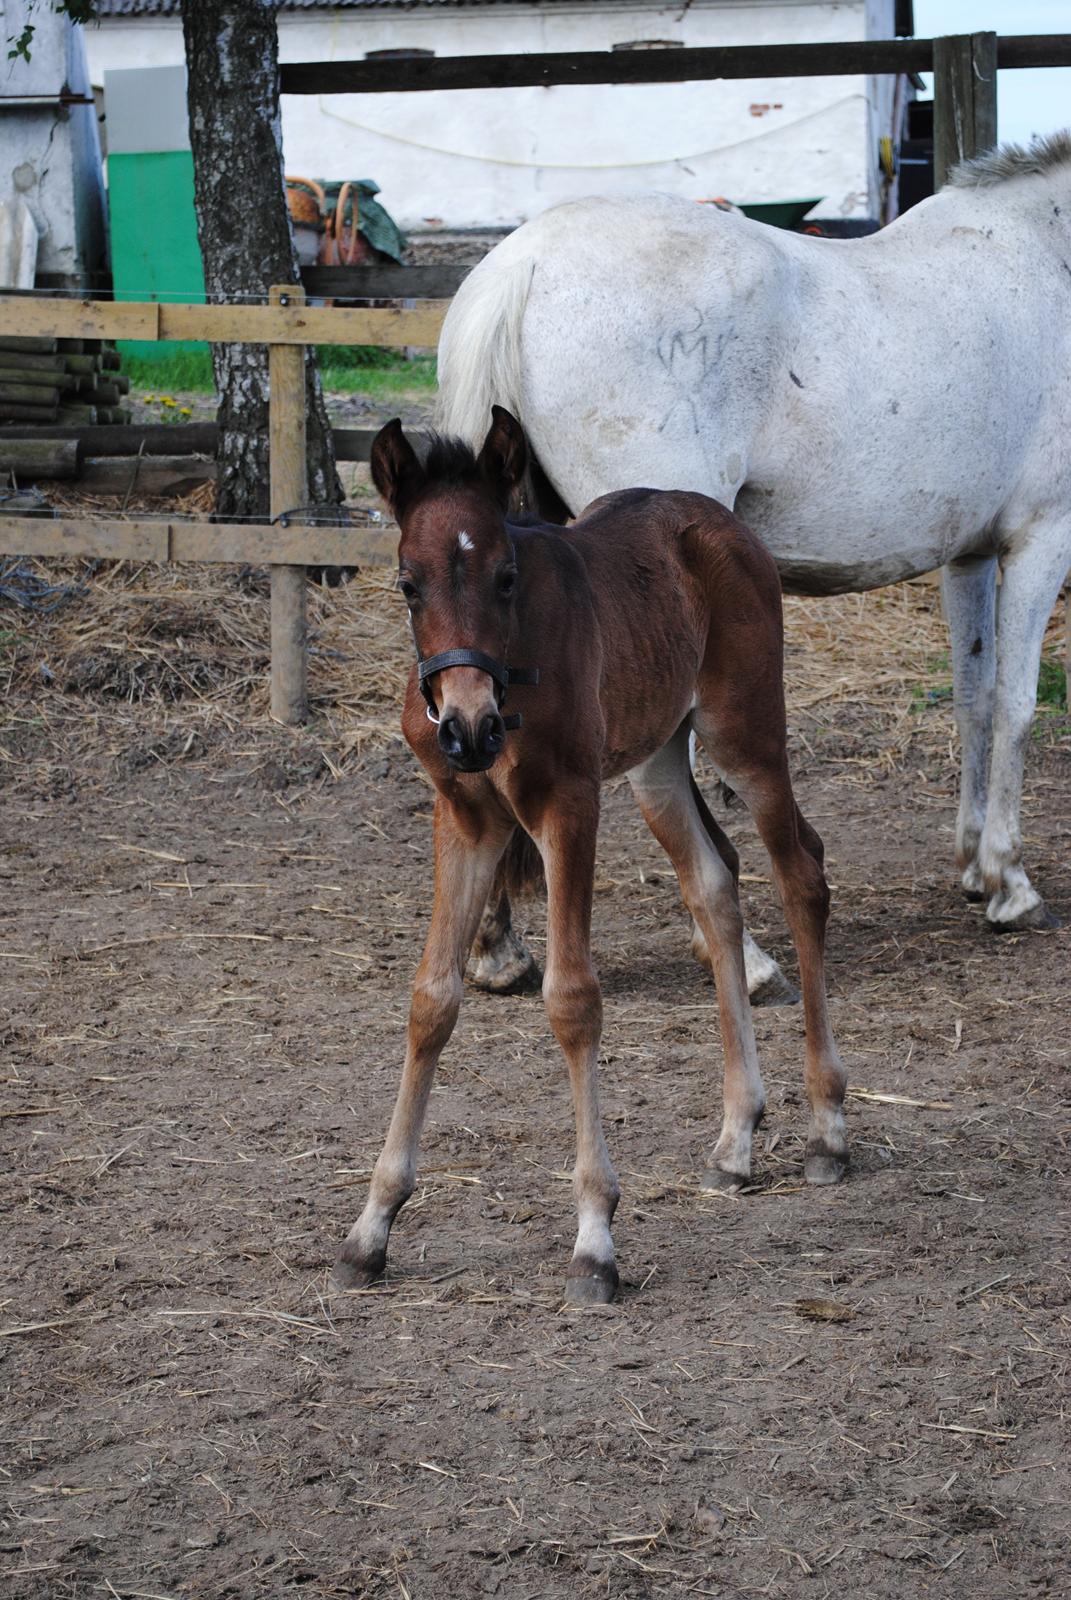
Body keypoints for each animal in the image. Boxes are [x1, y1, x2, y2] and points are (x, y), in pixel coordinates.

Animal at [334, 406, 845, 1305]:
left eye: (505, 574)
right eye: (406, 583)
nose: (467, 727)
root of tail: (720, 521)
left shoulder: (568, 804)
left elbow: (572, 1001)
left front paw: (594, 1240)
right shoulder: (464, 814)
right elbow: (431, 999)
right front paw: (372, 1226)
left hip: (742, 732)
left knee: (800, 874)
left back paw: (825, 1130)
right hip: (657, 764)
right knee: (713, 884)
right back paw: (735, 1142)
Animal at [441, 134, 1069, 985]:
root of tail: (521, 265)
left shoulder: (966, 555)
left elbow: (973, 698)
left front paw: (973, 866)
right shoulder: (1040, 536)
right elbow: (1015, 704)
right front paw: (1010, 883)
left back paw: (498, 950)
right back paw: (745, 957)